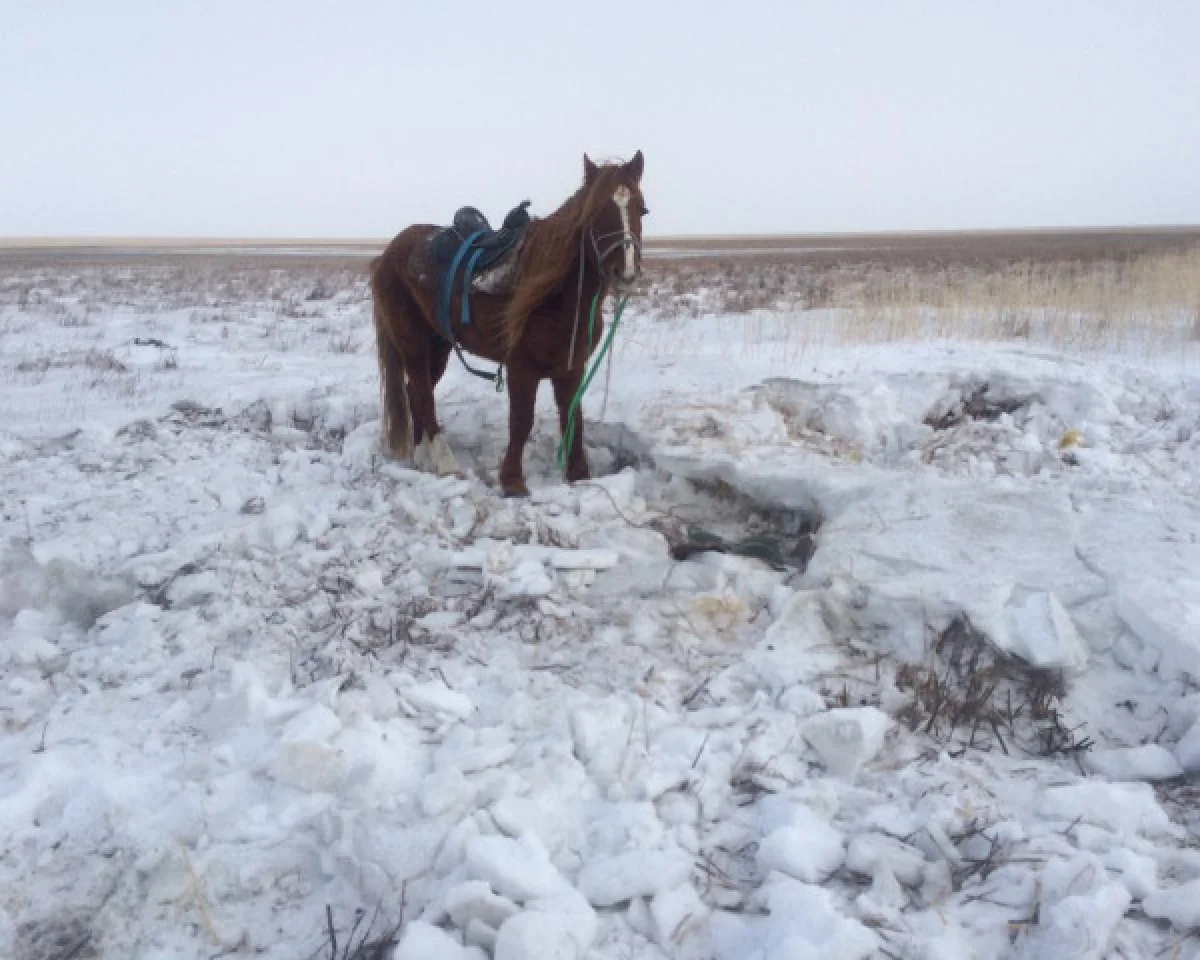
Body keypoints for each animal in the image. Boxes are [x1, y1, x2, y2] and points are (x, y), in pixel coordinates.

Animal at [369, 151, 648, 494]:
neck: (557, 296)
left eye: (642, 209)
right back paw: (446, 462)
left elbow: (573, 418)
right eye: (597, 211)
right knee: (422, 393)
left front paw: (579, 475)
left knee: (416, 391)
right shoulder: (521, 368)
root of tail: (387, 254)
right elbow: (521, 421)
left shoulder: (571, 368)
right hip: (413, 344)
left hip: (439, 345)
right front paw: (512, 481)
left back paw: (423, 456)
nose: (627, 273)